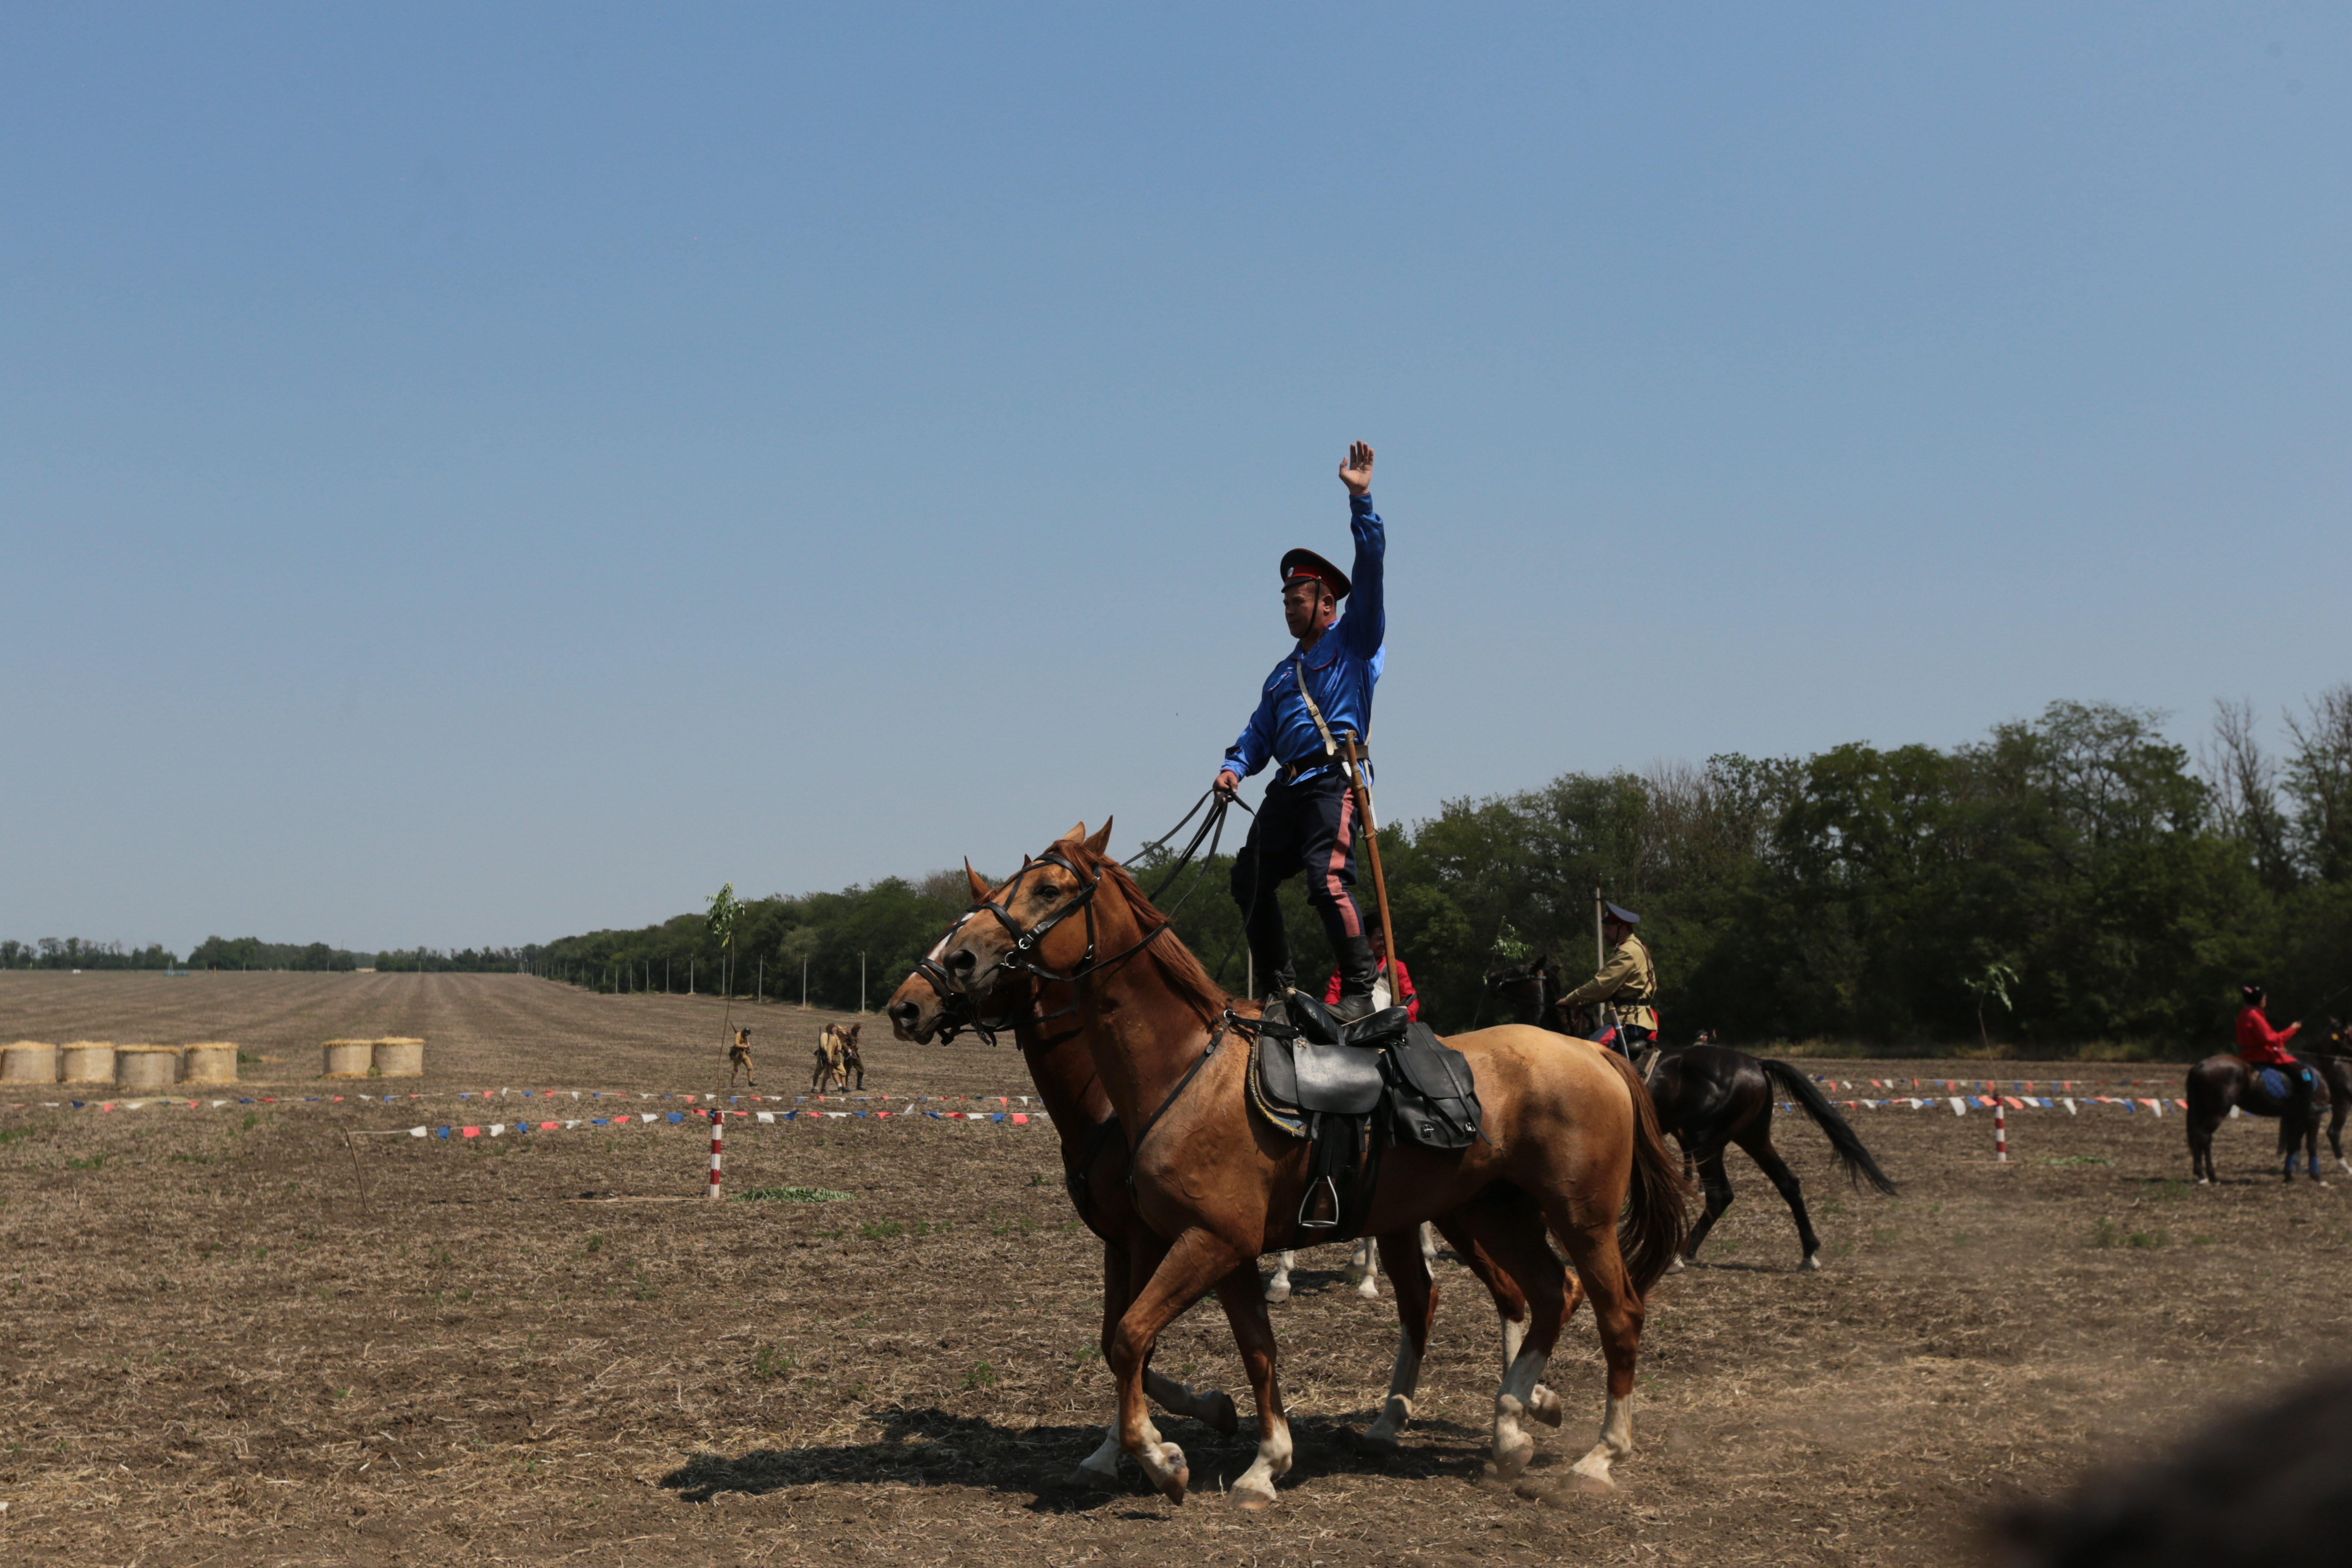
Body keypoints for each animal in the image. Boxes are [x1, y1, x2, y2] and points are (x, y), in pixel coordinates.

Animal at [922, 827, 1693, 1504]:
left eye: (1048, 889)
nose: (940, 976)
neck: (1179, 1072)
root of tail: (1591, 1054)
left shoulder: (1201, 1242)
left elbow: (1131, 1337)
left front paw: (1162, 1458)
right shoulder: (1210, 1249)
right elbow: (1241, 1349)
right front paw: (1261, 1462)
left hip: (1579, 1218)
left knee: (1614, 1310)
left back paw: (1596, 1457)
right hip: (1488, 1211)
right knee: (1538, 1293)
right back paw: (1503, 1426)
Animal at [1486, 959, 1891, 1279]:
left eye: (1518, 969)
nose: (1491, 978)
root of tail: (1755, 1063)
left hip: (1705, 1140)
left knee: (1721, 1195)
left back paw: (1681, 1255)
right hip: (1752, 1138)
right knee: (1788, 1183)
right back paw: (1808, 1253)